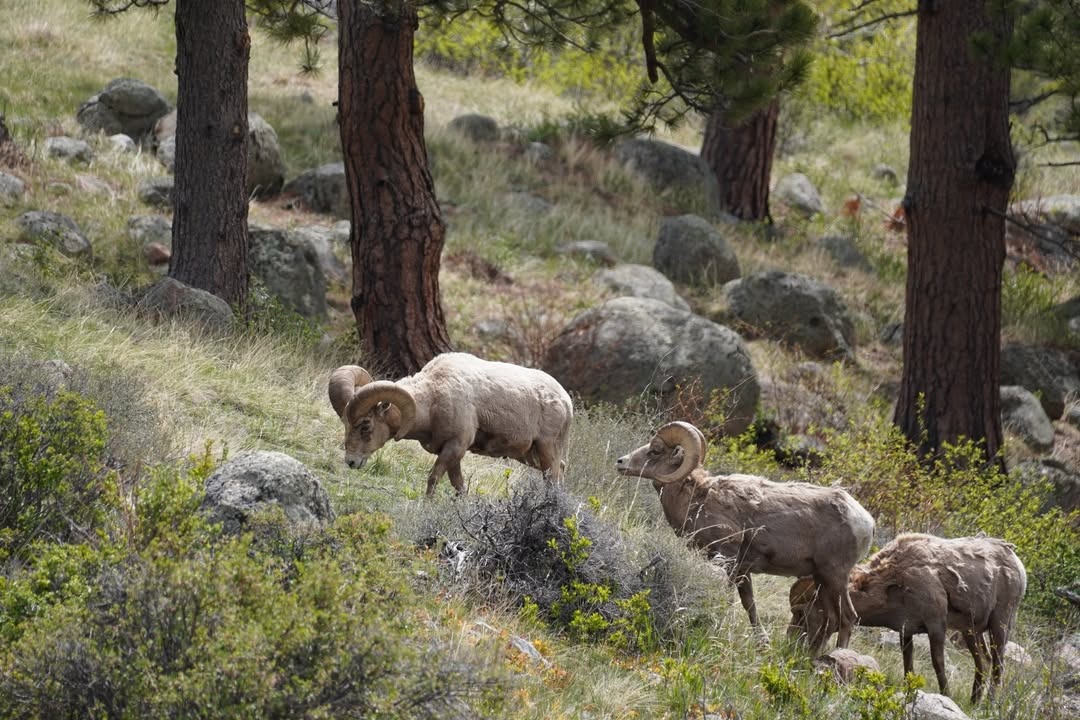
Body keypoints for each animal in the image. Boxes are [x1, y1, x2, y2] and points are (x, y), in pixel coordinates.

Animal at [328, 352, 573, 496]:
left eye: (365, 426)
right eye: (346, 425)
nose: (351, 462)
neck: (432, 398)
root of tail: (565, 400)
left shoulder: (454, 446)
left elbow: (433, 479)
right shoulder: (453, 454)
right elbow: (459, 486)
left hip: (546, 450)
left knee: (553, 478)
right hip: (530, 456)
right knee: (560, 470)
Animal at [615, 421, 875, 651]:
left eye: (655, 450)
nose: (620, 462)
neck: (697, 498)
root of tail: (866, 522)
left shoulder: (728, 557)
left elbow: (728, 599)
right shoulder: (743, 570)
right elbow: (749, 605)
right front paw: (762, 644)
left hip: (835, 576)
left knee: (848, 618)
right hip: (822, 578)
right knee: (831, 619)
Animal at [788, 533, 1027, 703]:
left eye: (802, 613)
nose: (791, 642)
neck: (895, 582)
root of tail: (1014, 559)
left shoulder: (936, 625)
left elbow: (938, 663)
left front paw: (946, 695)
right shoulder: (907, 631)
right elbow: (908, 666)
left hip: (1000, 625)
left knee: (998, 666)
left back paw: (989, 704)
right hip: (971, 630)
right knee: (983, 663)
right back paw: (974, 703)